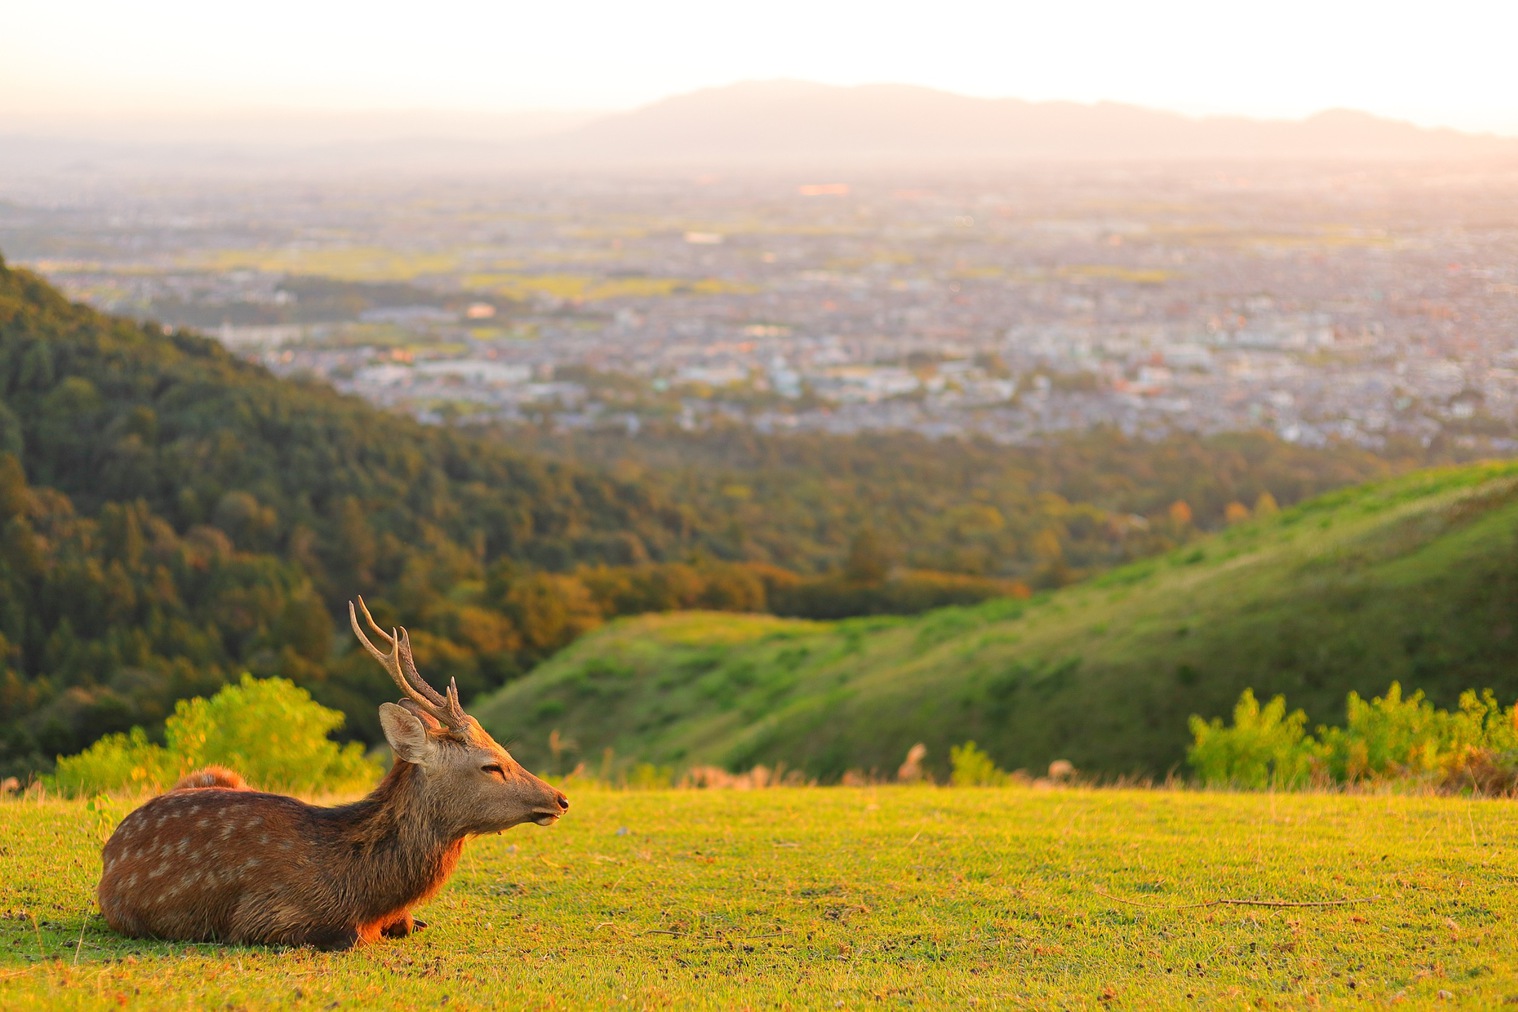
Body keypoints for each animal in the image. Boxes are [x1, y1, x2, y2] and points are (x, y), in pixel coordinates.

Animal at [96, 594, 570, 952]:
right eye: (492, 765)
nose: (560, 798)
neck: (360, 890)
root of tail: (109, 849)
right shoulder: (261, 916)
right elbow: (351, 937)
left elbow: (407, 922)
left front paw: (409, 921)